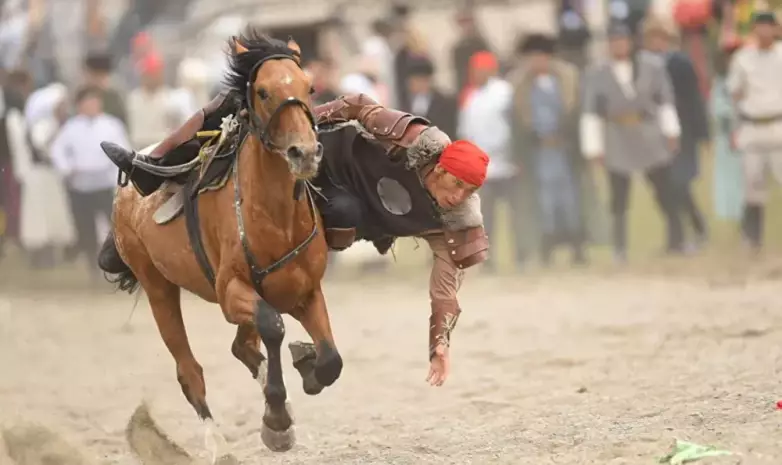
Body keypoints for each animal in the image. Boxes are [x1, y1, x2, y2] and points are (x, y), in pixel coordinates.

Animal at [101, 28, 344, 450]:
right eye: (263, 91)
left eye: (309, 87)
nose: (305, 153)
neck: (276, 216)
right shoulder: (232, 291)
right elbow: (273, 325)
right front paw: (277, 419)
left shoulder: (306, 290)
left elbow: (331, 360)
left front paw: (307, 367)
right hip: (157, 287)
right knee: (190, 372)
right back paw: (217, 445)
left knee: (242, 348)